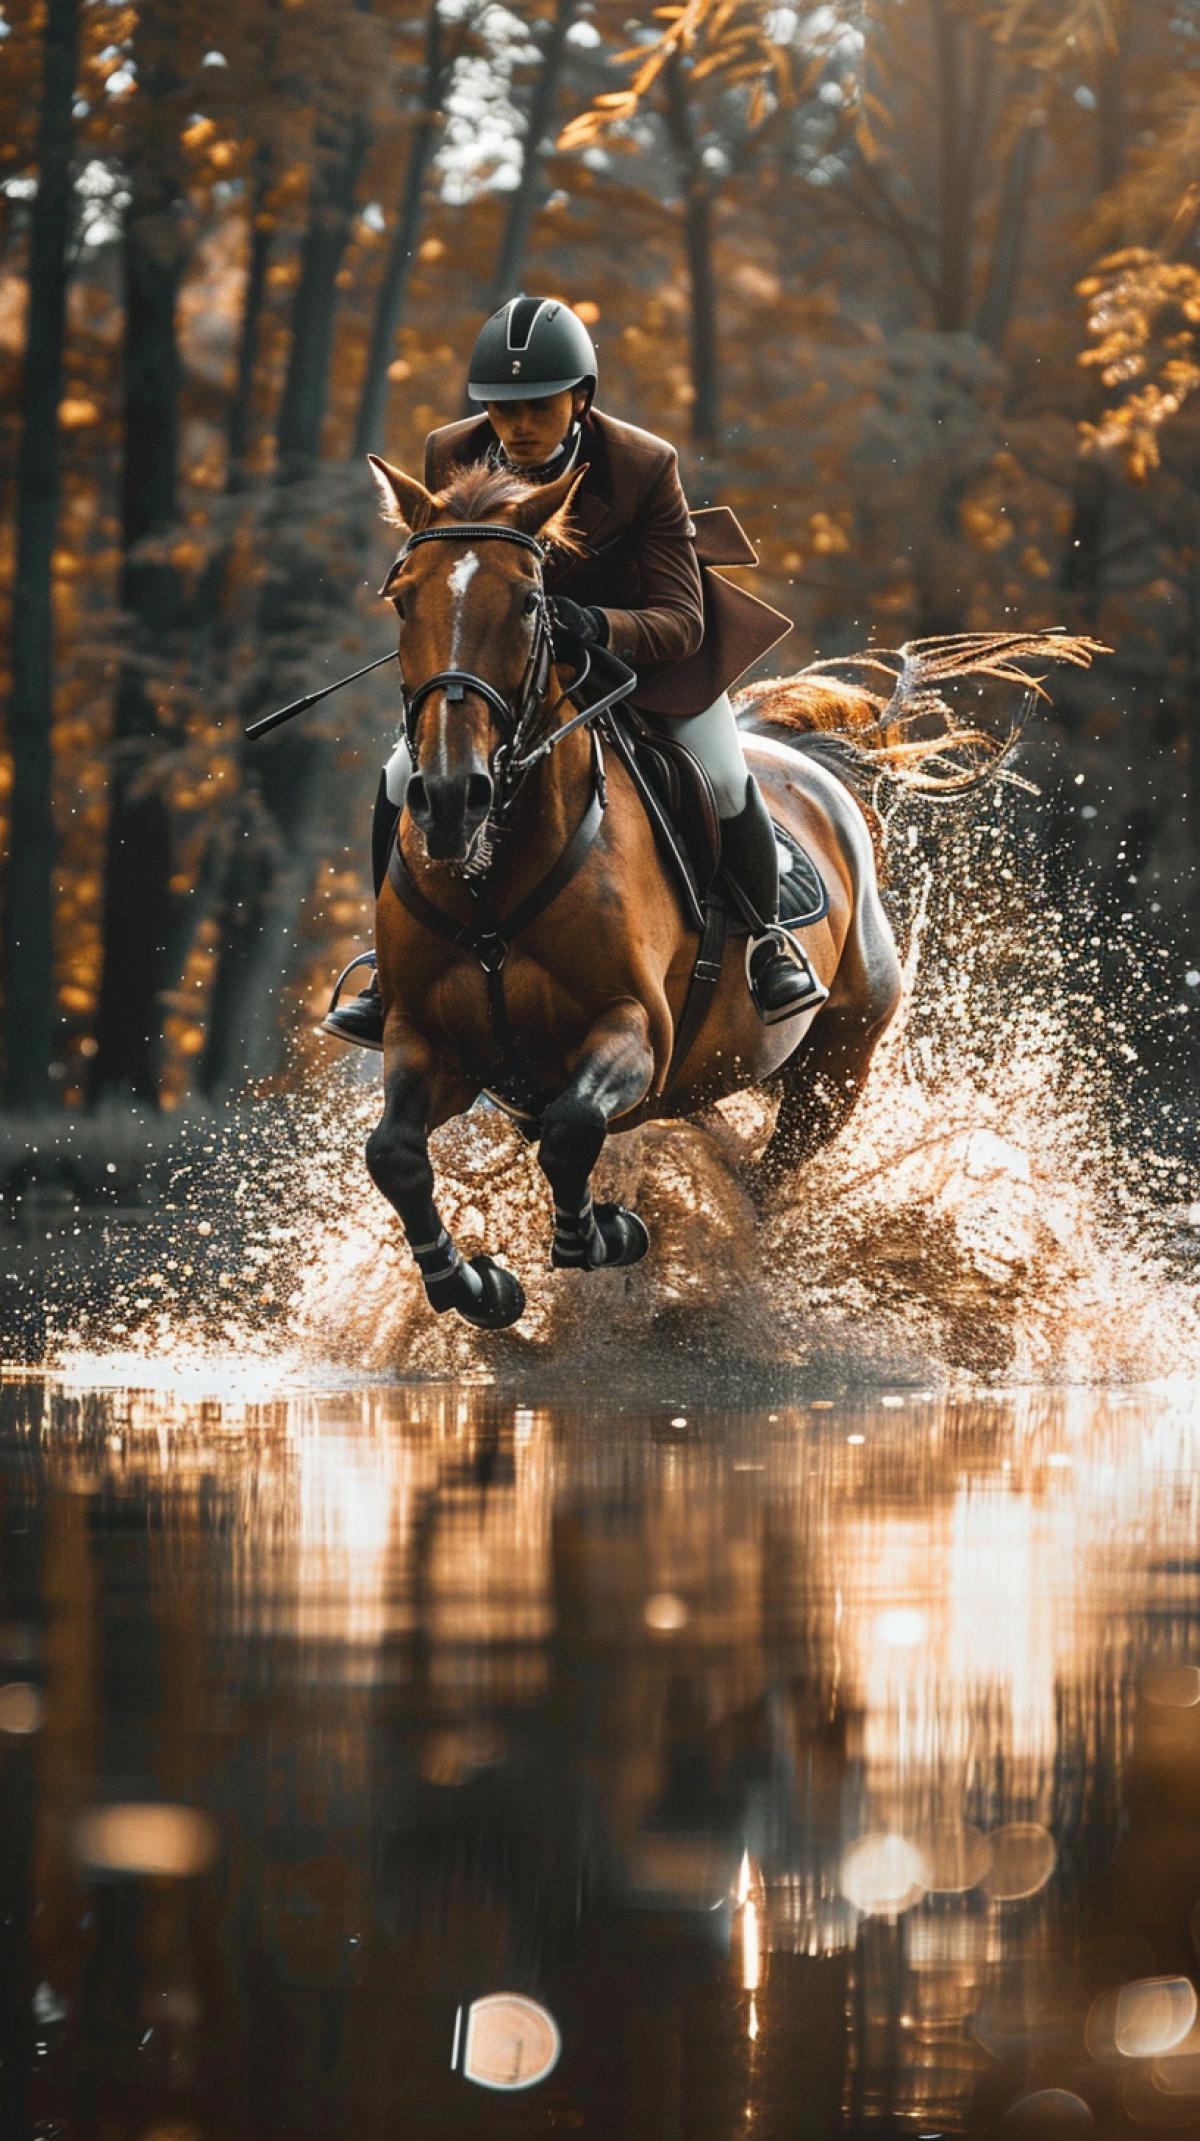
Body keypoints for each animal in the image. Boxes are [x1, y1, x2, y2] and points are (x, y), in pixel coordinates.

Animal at [361, 451, 1100, 1331]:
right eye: (402, 597)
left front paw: (602, 1234)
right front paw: (471, 1284)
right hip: (706, 1082)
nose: (451, 795)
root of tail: (812, 764)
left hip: (833, 1071)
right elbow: (395, 1155)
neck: (491, 887)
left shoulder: (635, 1029)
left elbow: (572, 1129)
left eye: (532, 601)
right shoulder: (428, 1039)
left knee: (765, 1182)